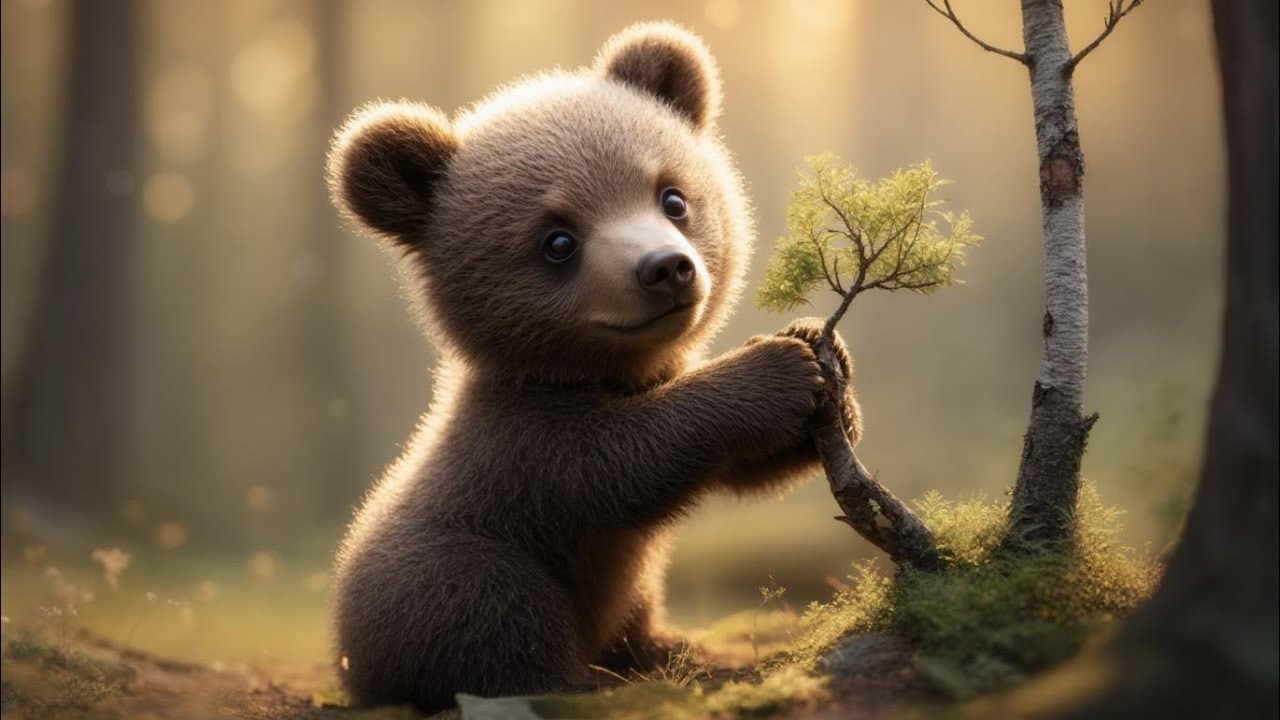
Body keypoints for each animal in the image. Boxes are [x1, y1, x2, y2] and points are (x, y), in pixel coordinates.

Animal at [325, 22, 861, 711]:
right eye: (558, 240)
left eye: (672, 197)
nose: (666, 268)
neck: (609, 371)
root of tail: (348, 657)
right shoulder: (520, 443)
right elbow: (621, 460)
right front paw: (775, 372)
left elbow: (736, 467)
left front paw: (823, 361)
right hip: (448, 569)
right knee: (494, 616)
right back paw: (571, 681)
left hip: (625, 586)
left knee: (635, 599)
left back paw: (666, 648)